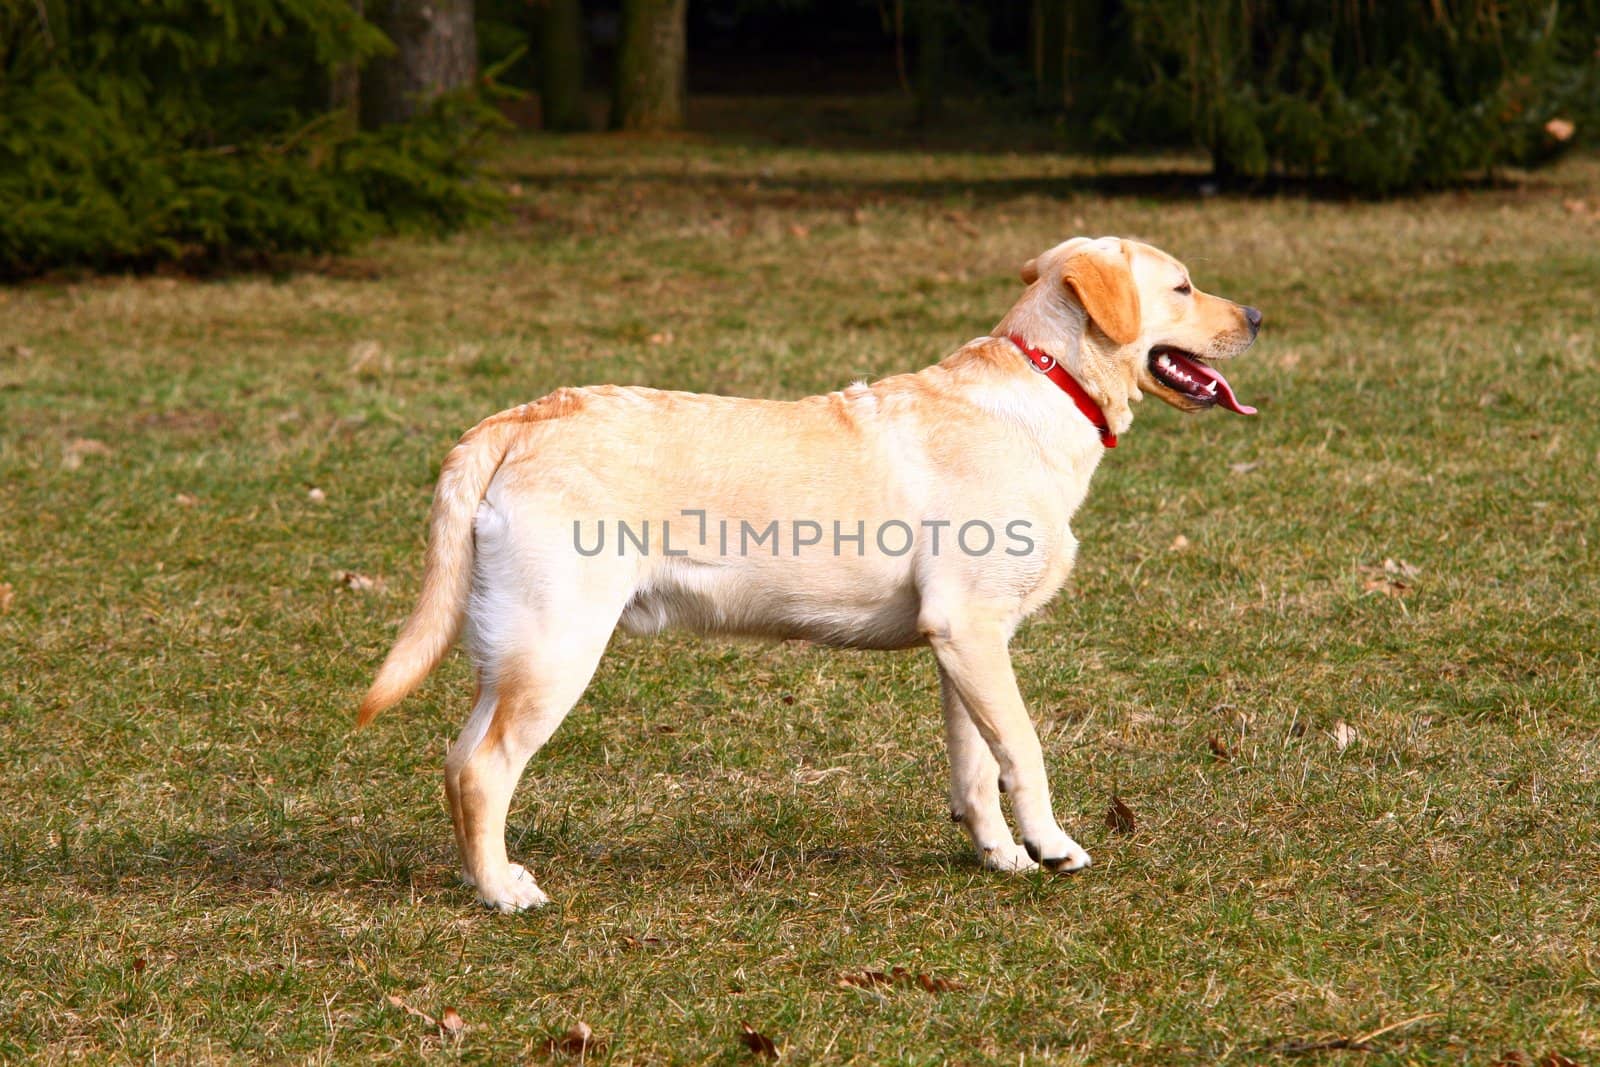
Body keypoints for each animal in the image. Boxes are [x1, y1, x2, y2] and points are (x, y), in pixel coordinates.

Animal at [356, 235, 1254, 908]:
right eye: (1182, 285)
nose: (1256, 314)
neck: (1050, 382)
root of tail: (521, 416)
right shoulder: (971, 633)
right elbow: (1025, 752)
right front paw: (1054, 847)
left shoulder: (964, 643)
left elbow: (976, 768)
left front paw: (999, 854)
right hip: (556, 648)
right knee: (484, 769)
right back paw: (504, 893)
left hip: (511, 652)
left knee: (456, 762)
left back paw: (486, 876)